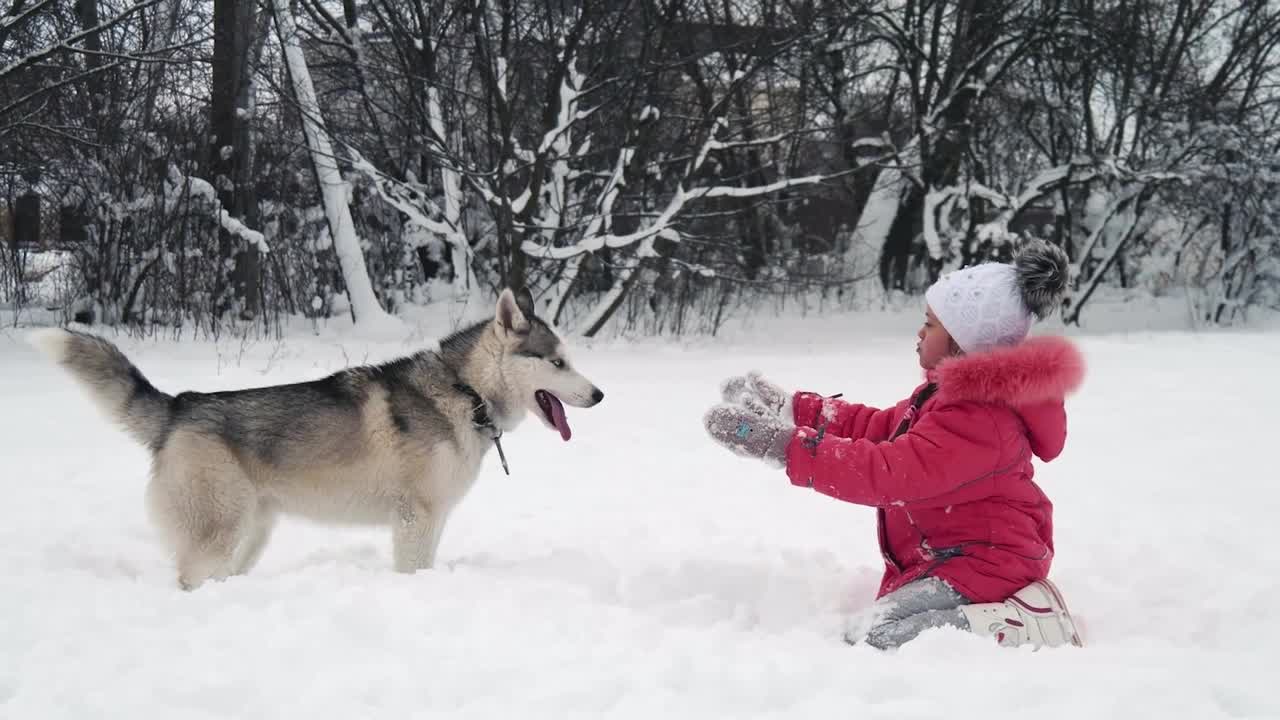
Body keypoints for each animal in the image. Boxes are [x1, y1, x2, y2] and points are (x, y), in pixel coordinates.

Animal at [30, 286, 604, 589]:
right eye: (556, 362)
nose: (599, 394)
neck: (466, 391)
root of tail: (180, 406)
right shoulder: (414, 517)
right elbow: (411, 569)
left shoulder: (434, 517)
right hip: (217, 534)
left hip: (251, 534)